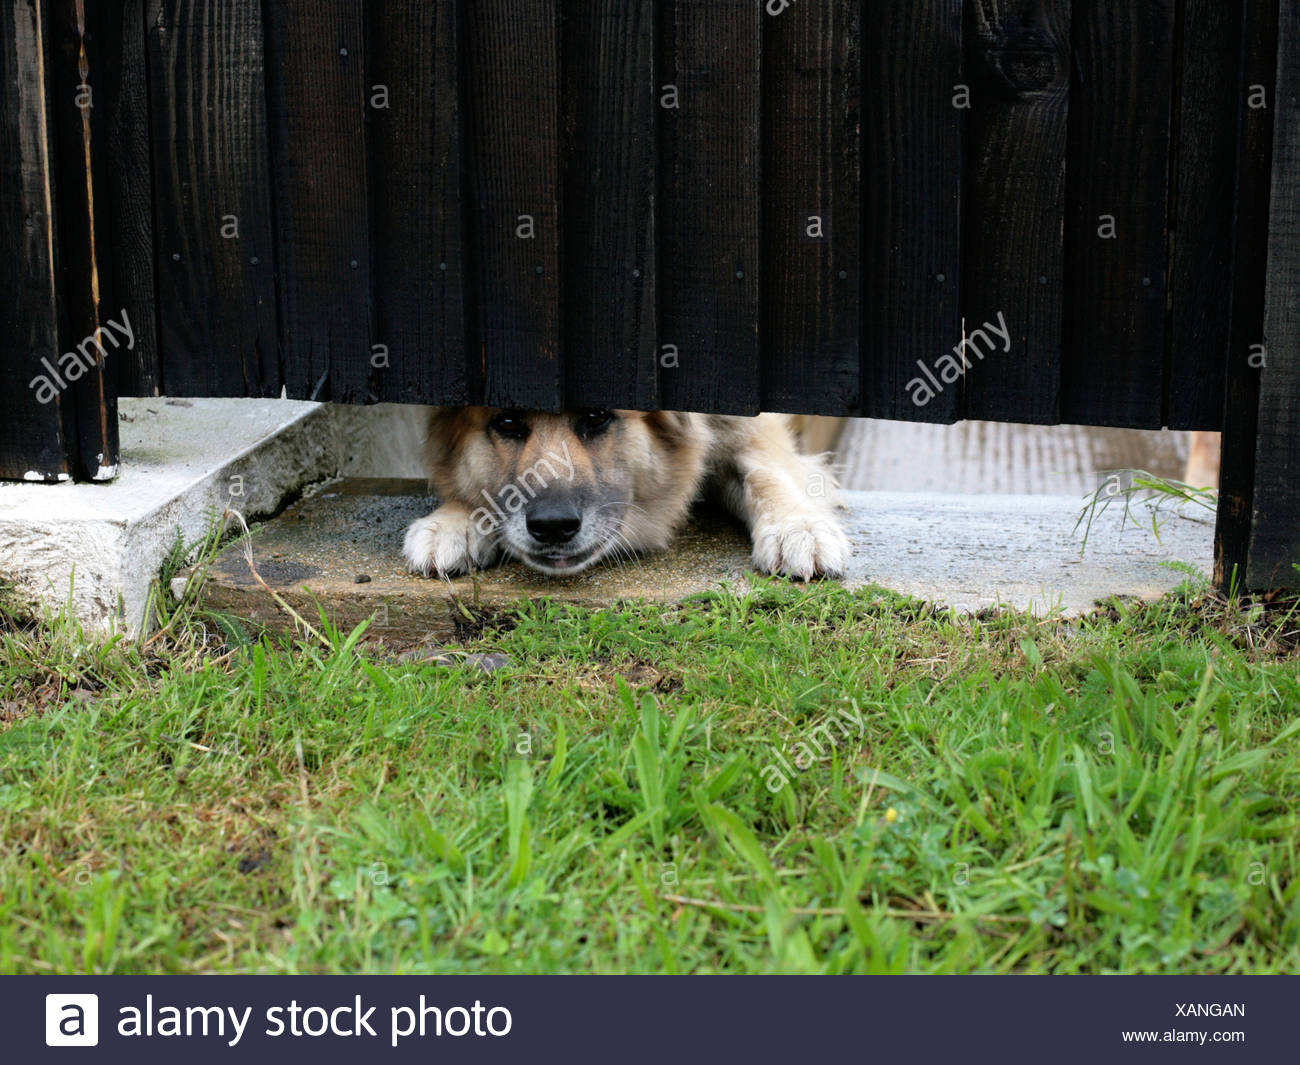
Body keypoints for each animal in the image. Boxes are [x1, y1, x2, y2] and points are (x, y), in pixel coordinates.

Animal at [405, 405, 852, 579]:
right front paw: (455, 521)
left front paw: (797, 527)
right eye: (509, 421)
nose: (552, 527)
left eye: (596, 416)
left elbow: (765, 470)